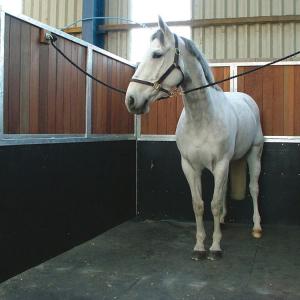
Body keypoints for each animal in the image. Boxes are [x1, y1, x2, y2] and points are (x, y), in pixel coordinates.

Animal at [125, 17, 264, 260]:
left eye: (157, 54)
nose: (131, 100)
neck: (201, 118)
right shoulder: (190, 166)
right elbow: (198, 205)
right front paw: (200, 246)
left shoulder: (220, 164)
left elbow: (214, 204)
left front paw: (215, 247)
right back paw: (224, 222)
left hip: (254, 154)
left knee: (254, 188)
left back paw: (256, 227)